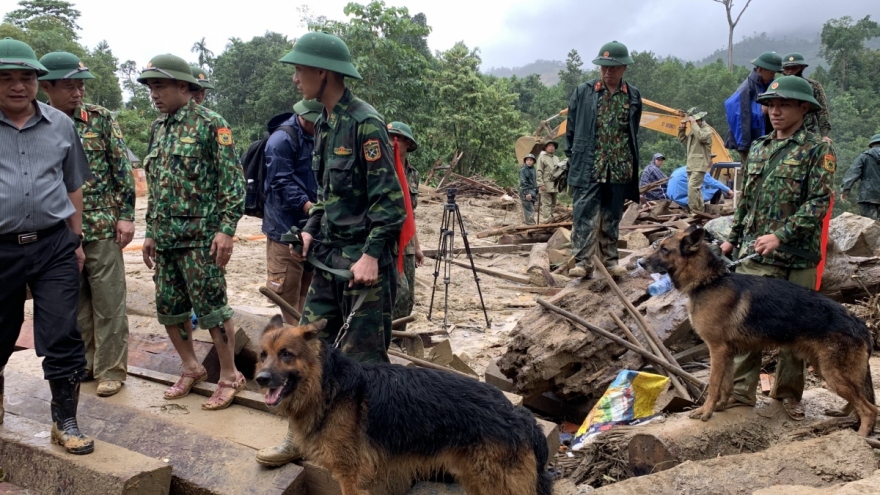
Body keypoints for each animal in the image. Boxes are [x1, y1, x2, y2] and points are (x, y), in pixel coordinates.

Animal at [258, 318, 552, 495]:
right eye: (263, 355)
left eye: (287, 354)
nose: (260, 379)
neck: (328, 385)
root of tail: (518, 414)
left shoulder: (351, 478)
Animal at [644, 227, 876, 436]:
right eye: (659, 247)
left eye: (664, 249)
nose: (641, 263)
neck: (710, 281)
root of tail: (859, 323)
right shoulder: (727, 353)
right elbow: (726, 384)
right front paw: (721, 406)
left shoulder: (716, 350)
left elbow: (713, 385)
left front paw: (706, 411)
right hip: (826, 368)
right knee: (860, 399)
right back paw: (843, 414)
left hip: (832, 373)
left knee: (870, 409)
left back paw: (861, 437)